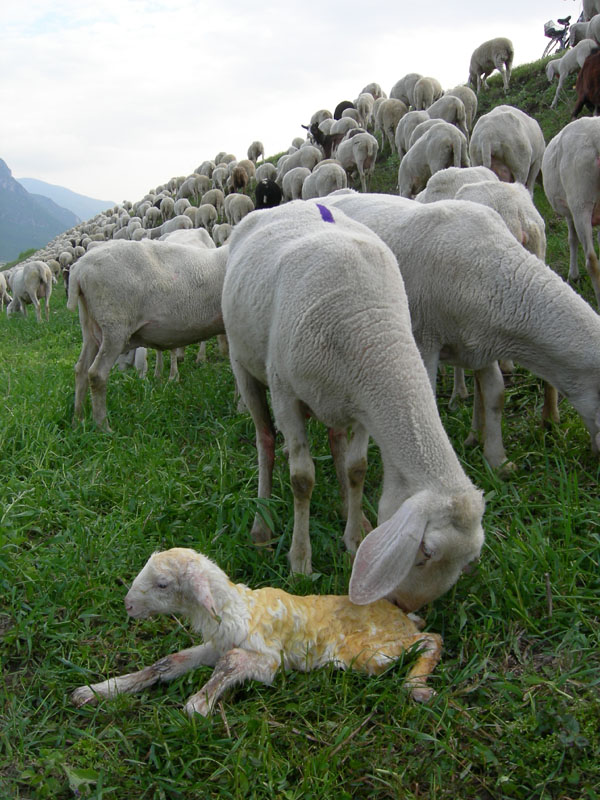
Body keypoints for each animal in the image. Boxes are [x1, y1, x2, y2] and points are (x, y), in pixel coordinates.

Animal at [67, 239, 229, 432]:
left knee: (81, 370)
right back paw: (103, 427)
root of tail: (79, 269)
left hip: (90, 327)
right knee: (96, 374)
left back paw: (78, 421)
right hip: (114, 325)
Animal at [72, 548, 442, 716]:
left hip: (366, 652)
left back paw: (416, 686)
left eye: (162, 584)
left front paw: (198, 704)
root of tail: (402, 615)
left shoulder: (268, 659)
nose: (128, 606)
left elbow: (234, 662)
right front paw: (98, 690)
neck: (237, 607)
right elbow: (168, 662)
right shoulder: (216, 644)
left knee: (431, 640)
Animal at [223, 198, 486, 608]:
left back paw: (351, 511)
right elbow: (302, 479)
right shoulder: (285, 394)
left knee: (335, 440)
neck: (373, 333)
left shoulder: (365, 405)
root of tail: (285, 204)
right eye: (425, 551)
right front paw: (300, 561)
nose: (404, 607)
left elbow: (356, 468)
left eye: (467, 562)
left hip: (334, 398)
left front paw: (355, 539)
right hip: (244, 365)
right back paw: (262, 526)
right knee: (265, 441)